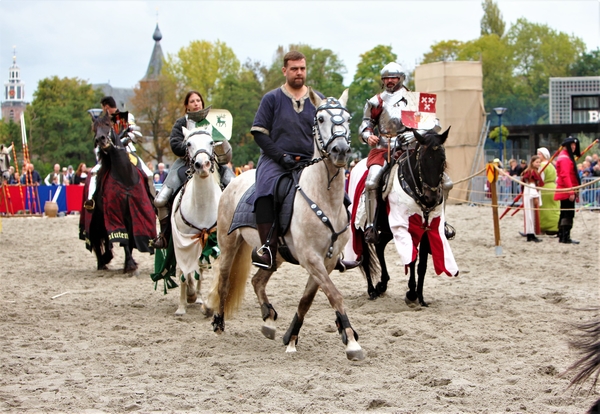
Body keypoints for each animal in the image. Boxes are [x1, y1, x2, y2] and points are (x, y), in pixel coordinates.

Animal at [78, 115, 156, 274]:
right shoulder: (115, 213)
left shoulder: (135, 213)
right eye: (94, 129)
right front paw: (130, 265)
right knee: (96, 237)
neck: (125, 177)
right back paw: (102, 262)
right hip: (95, 216)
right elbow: (122, 237)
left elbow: (130, 240)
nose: (101, 139)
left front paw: (129, 263)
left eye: (108, 124)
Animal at [171, 124, 223, 316]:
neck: (201, 205)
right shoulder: (182, 241)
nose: (203, 165)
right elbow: (184, 272)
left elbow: (204, 268)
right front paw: (182, 306)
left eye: (211, 142)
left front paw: (205, 301)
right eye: (188, 143)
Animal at [206, 90, 366, 360]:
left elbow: (306, 300)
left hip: (275, 255)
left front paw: (291, 338)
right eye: (320, 118)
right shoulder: (311, 258)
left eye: (346, 118)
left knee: (258, 281)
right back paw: (218, 323)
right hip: (228, 244)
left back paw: (269, 319)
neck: (325, 199)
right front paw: (351, 342)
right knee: (224, 279)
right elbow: (335, 294)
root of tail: (233, 181)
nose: (341, 150)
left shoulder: (327, 261)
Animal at [350, 129, 458, 308]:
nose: (431, 198)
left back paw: (382, 285)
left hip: (387, 229)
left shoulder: (428, 230)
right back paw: (372, 290)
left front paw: (420, 297)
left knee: (379, 246)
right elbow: (412, 258)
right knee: (365, 255)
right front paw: (412, 294)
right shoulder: (406, 228)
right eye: (422, 160)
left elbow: (422, 265)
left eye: (442, 159)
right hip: (360, 227)